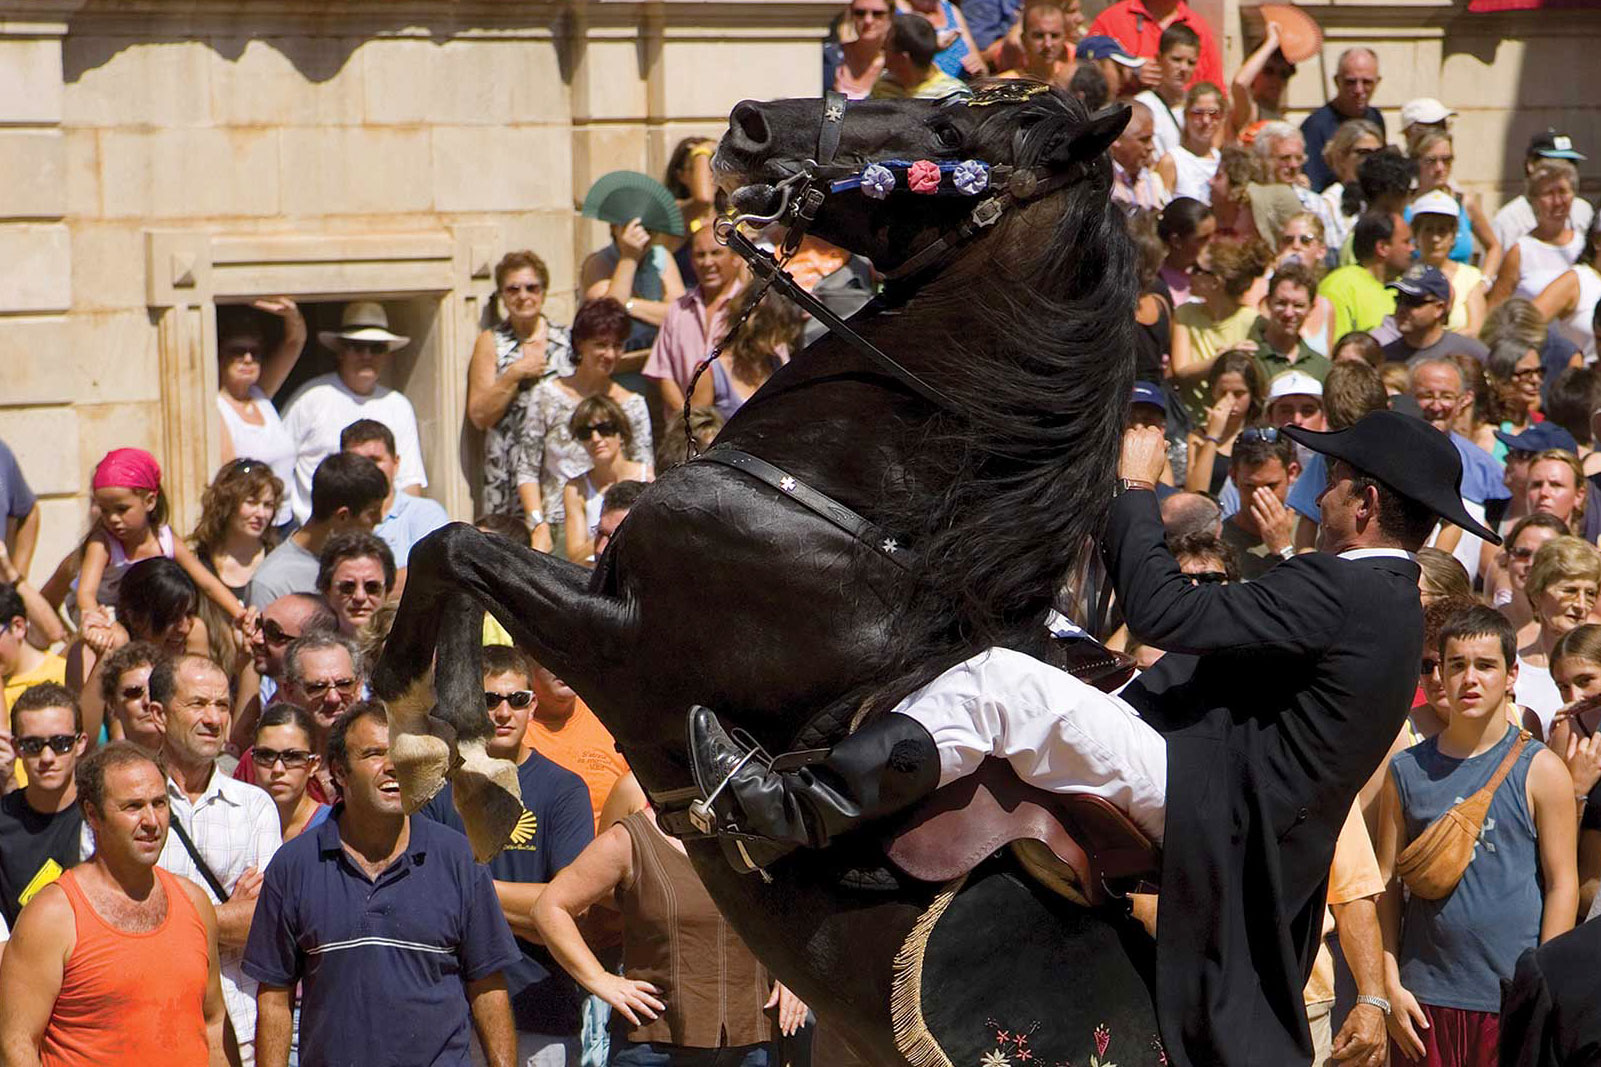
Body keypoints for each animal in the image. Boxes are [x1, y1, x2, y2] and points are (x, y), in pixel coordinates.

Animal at [381, 87, 1171, 1057]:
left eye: (950, 135)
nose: (750, 123)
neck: (856, 517)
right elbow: (451, 545)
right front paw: (430, 731)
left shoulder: (624, 647)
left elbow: (456, 547)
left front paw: (441, 742)